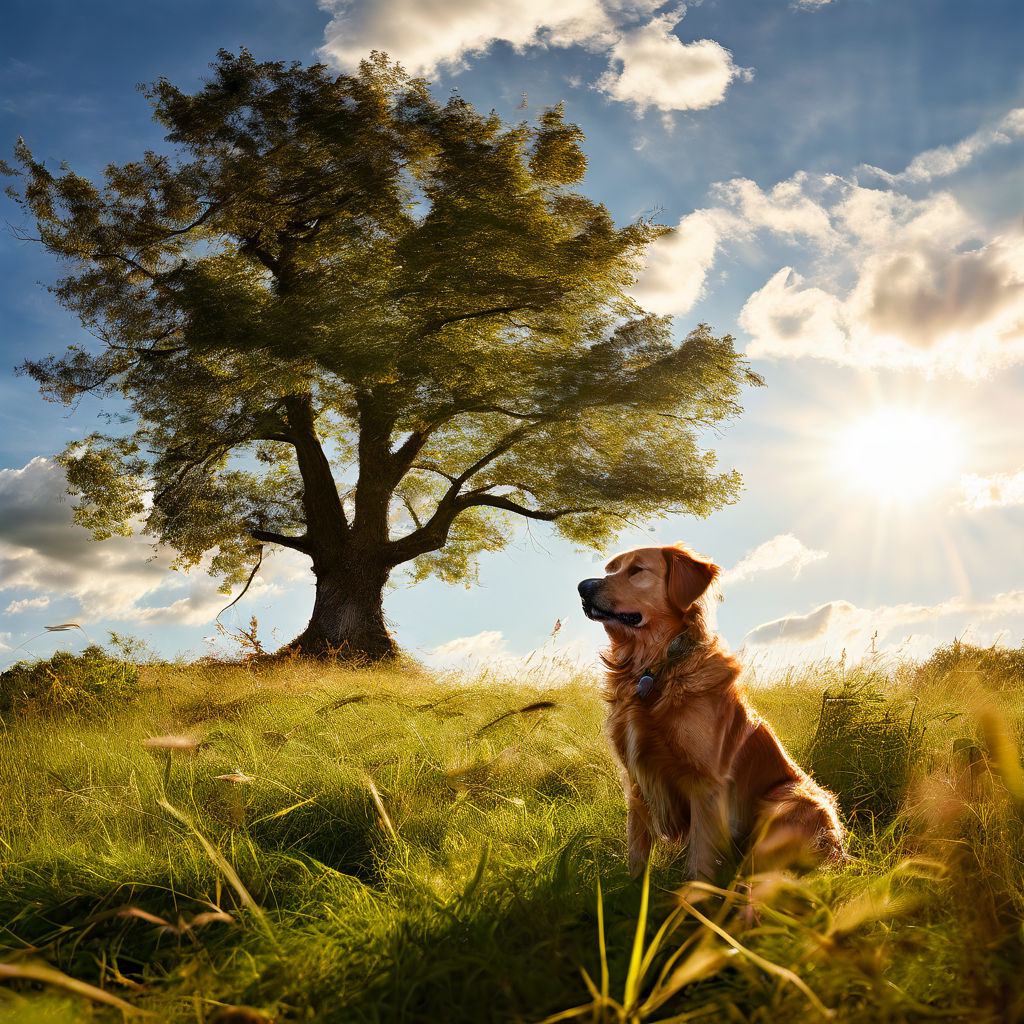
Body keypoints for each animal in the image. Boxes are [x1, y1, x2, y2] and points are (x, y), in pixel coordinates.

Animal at [581, 544, 843, 880]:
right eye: (611, 569)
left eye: (637, 570)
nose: (582, 587)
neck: (655, 668)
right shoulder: (637, 779)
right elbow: (637, 851)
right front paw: (634, 889)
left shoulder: (707, 784)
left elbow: (700, 859)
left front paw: (693, 895)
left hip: (786, 801)